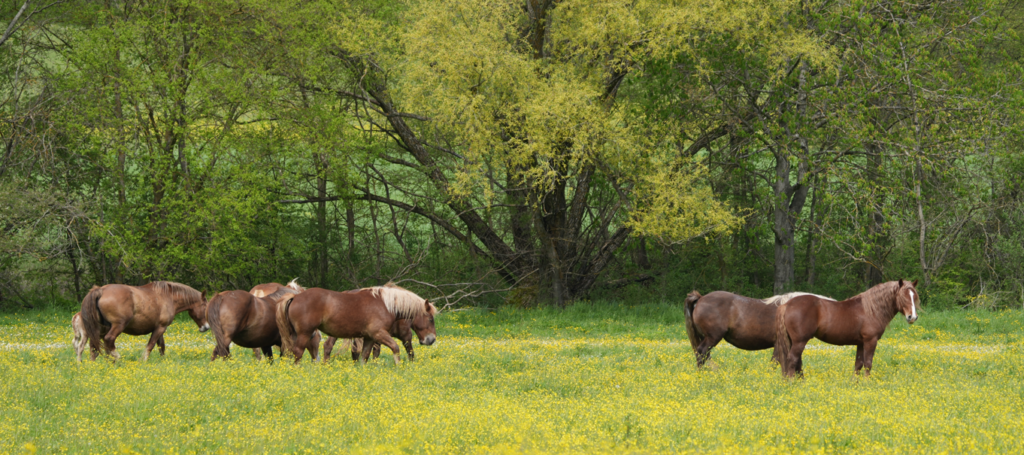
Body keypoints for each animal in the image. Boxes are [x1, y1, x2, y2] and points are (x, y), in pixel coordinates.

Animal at [80, 281, 209, 361]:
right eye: (205, 307)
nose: (206, 327)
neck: (168, 296)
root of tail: (100, 290)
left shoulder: (159, 328)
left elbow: (161, 346)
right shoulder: (161, 327)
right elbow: (151, 345)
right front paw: (144, 360)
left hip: (99, 328)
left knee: (94, 344)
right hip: (117, 326)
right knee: (108, 340)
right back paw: (117, 358)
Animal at [277, 284, 437, 365]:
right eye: (430, 319)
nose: (431, 339)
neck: (386, 305)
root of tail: (295, 296)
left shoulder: (370, 338)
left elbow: (364, 356)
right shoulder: (379, 334)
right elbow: (396, 348)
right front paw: (399, 366)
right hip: (304, 334)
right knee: (298, 352)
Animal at [774, 279, 920, 377]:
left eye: (914, 296)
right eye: (903, 296)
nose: (912, 317)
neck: (871, 310)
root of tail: (787, 304)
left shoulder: (861, 343)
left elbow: (858, 364)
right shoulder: (870, 341)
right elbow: (868, 363)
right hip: (800, 341)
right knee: (792, 360)